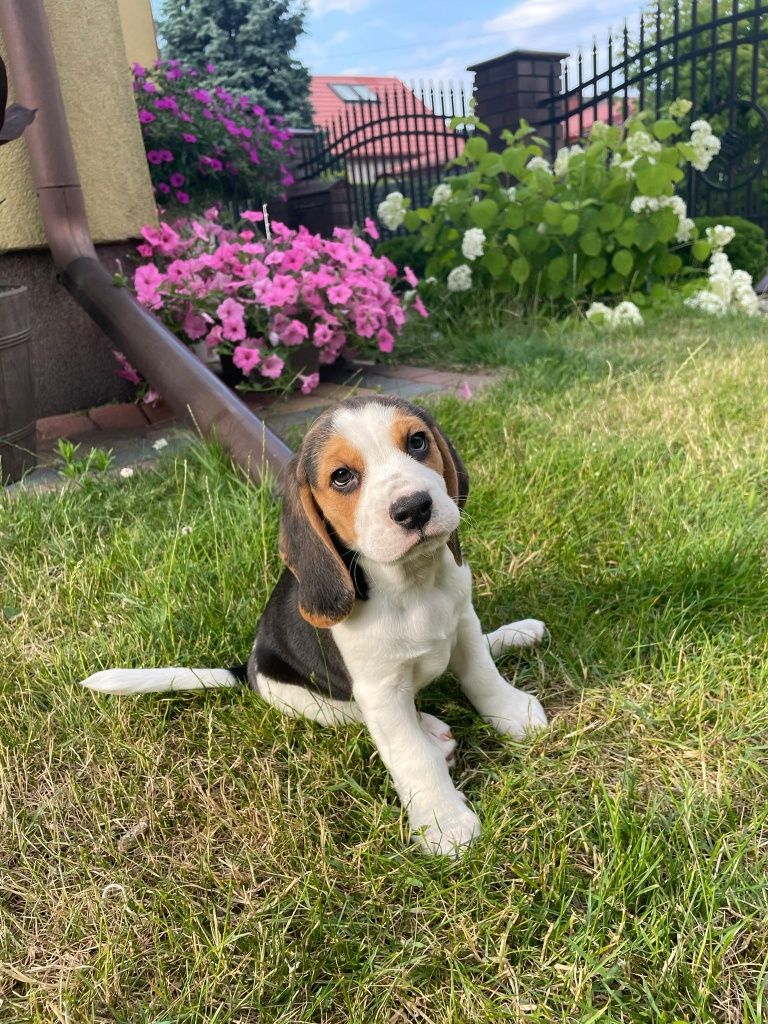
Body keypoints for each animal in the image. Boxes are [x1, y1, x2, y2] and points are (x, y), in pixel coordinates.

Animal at [82, 395, 548, 860]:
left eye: (417, 442)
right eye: (341, 476)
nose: (414, 507)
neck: (412, 585)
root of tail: (246, 670)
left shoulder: (464, 622)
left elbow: (481, 675)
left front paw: (512, 712)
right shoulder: (379, 689)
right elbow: (412, 754)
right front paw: (443, 821)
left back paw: (516, 633)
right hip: (306, 698)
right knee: (363, 716)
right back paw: (432, 730)